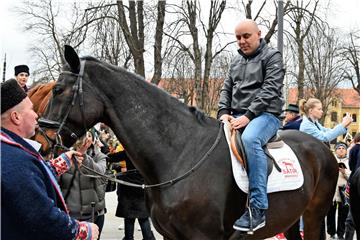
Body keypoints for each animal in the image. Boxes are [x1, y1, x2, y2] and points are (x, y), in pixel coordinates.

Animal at [38, 45, 338, 240]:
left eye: (58, 90)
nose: (42, 139)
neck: (181, 154)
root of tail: (322, 148)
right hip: (291, 219)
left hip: (313, 217)